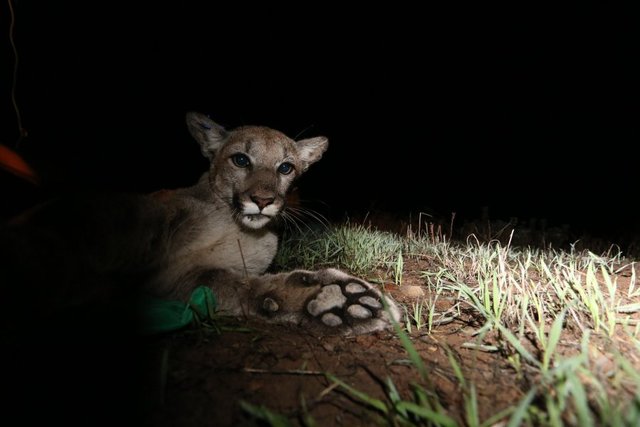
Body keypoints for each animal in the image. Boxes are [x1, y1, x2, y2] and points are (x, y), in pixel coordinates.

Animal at [0, 112, 400, 336]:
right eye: (241, 159)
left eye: (286, 167)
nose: (263, 200)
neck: (235, 226)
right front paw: (333, 297)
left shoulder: (183, 277)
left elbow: (227, 281)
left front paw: (332, 300)